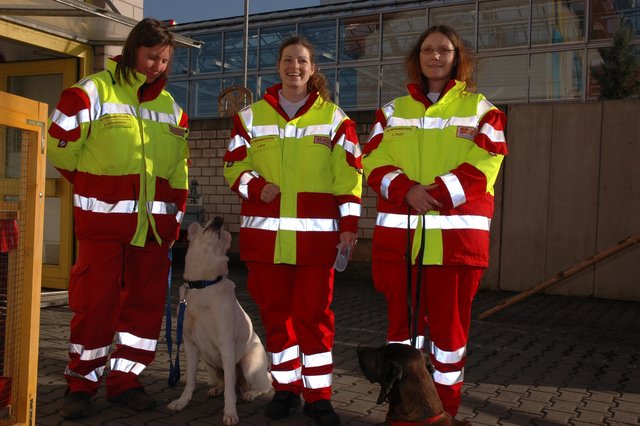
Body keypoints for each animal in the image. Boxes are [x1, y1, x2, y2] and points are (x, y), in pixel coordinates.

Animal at [166, 218, 272, 424]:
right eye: (206, 228)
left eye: (221, 233)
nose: (219, 220)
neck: (203, 285)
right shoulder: (190, 345)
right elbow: (190, 379)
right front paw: (182, 402)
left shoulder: (226, 345)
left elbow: (230, 390)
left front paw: (230, 413)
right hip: (210, 363)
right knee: (224, 382)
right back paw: (216, 389)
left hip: (248, 363)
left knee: (263, 386)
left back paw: (250, 393)